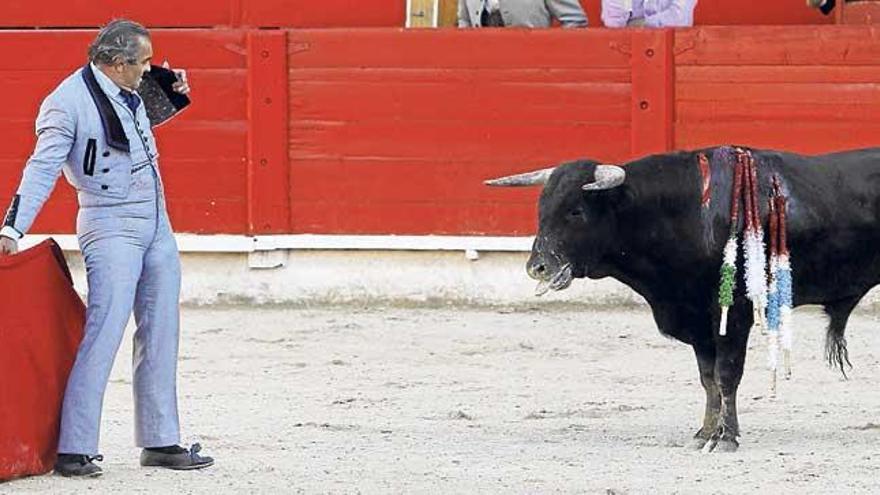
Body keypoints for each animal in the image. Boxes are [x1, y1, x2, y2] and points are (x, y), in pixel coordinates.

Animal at [482, 146, 880, 454]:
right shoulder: (698, 320)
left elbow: (727, 374)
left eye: (576, 211)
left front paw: (727, 438)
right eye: (541, 208)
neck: (683, 210)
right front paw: (705, 433)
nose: (537, 267)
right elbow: (708, 379)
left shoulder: (732, 315)